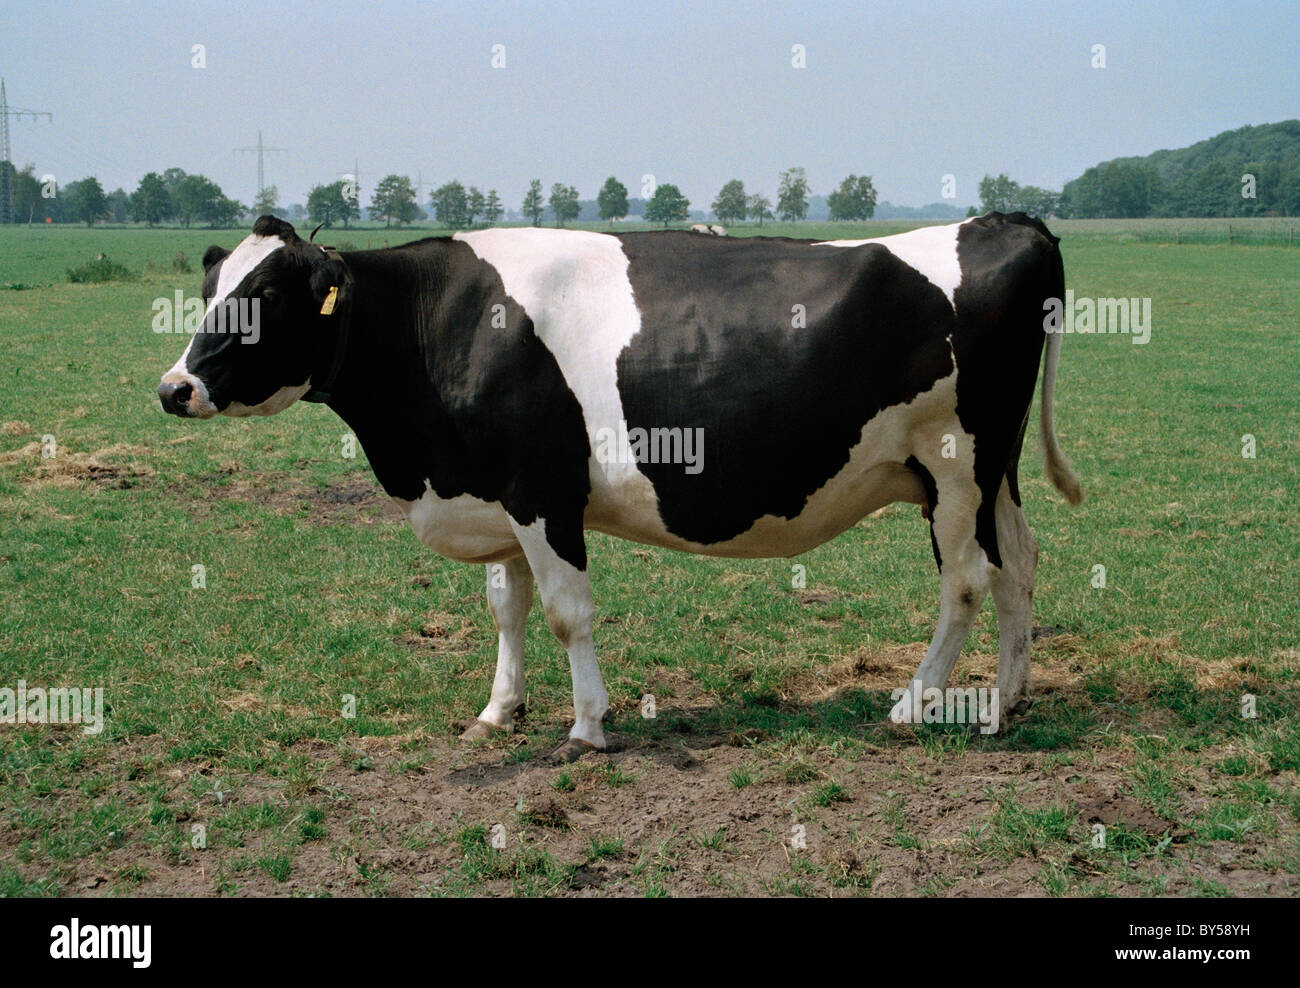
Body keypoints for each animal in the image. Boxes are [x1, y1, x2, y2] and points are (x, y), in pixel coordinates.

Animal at [157, 210, 1081, 764]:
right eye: (209, 290)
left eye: (265, 296)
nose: (174, 388)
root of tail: (1005, 222)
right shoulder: (499, 496)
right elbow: (507, 607)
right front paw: (498, 711)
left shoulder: (542, 489)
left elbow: (567, 612)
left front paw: (587, 726)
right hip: (987, 473)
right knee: (1021, 565)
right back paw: (1007, 701)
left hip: (955, 460)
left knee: (966, 581)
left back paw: (919, 705)